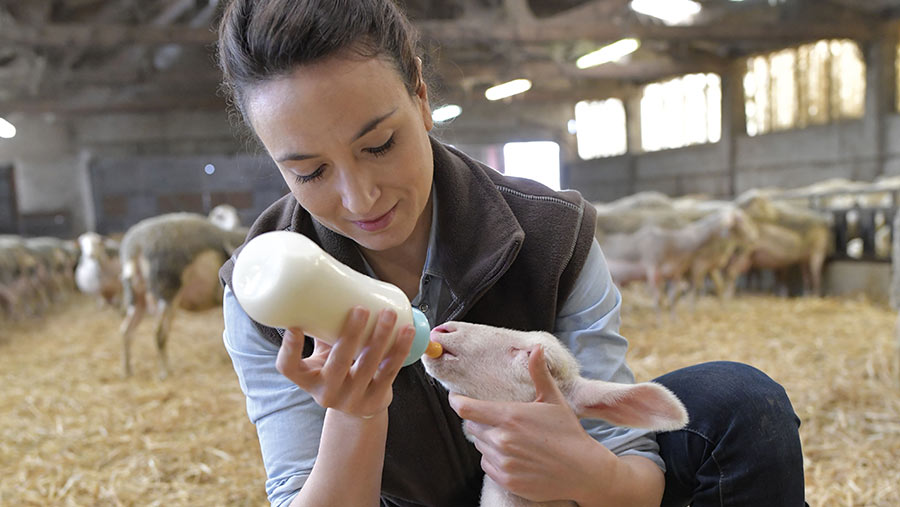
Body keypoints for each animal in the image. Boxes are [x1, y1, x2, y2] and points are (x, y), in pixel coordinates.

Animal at [118, 212, 250, 380]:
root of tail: (136, 246)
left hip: (137, 296)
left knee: (126, 331)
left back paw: (127, 370)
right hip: (167, 290)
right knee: (158, 334)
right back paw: (165, 372)